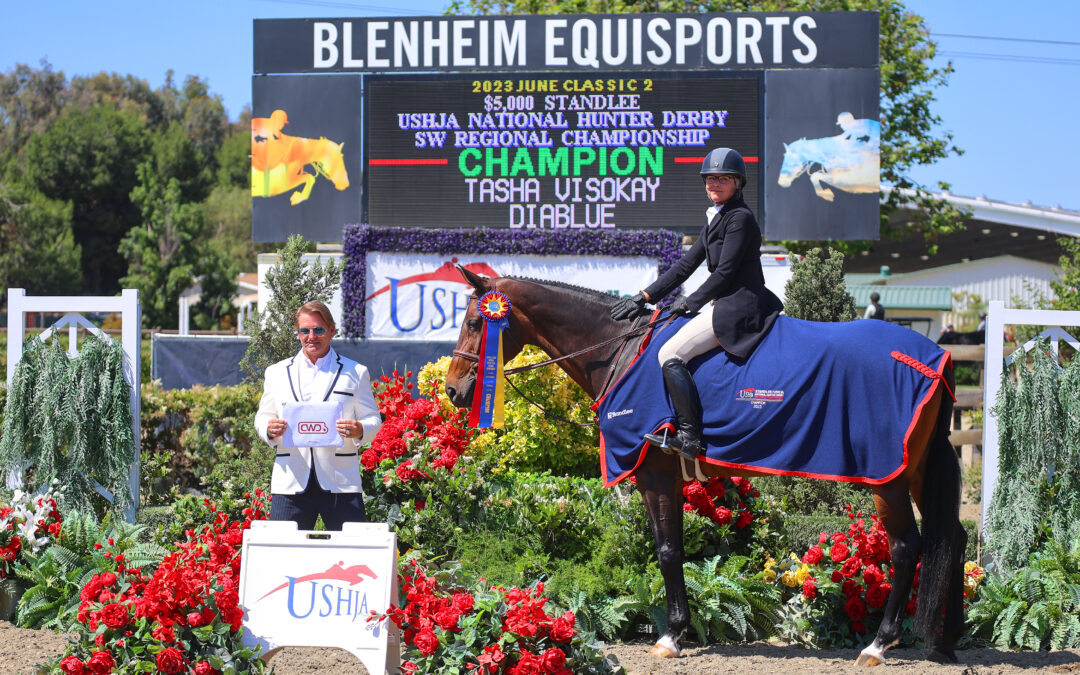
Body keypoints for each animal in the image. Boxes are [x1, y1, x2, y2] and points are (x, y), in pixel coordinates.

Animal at [442, 266, 967, 665]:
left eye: (475, 322)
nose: (452, 390)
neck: (620, 351)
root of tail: (931, 359)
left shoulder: (654, 474)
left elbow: (668, 551)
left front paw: (671, 636)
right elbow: (671, 548)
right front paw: (679, 630)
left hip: (889, 479)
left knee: (906, 547)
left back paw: (879, 645)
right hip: (918, 471)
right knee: (954, 538)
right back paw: (947, 642)